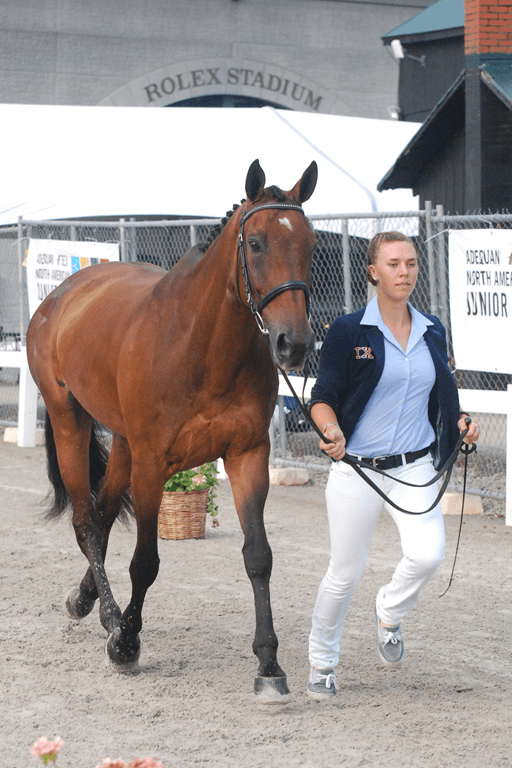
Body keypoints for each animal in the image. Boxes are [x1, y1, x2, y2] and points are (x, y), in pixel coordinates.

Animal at [26, 159, 318, 703]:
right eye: (256, 243)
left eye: (310, 243)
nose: (294, 344)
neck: (201, 345)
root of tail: (60, 295)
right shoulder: (153, 465)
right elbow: (145, 561)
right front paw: (127, 645)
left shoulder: (248, 456)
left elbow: (259, 557)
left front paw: (268, 663)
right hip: (70, 420)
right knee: (85, 520)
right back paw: (112, 616)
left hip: (122, 444)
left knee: (101, 514)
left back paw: (89, 601)